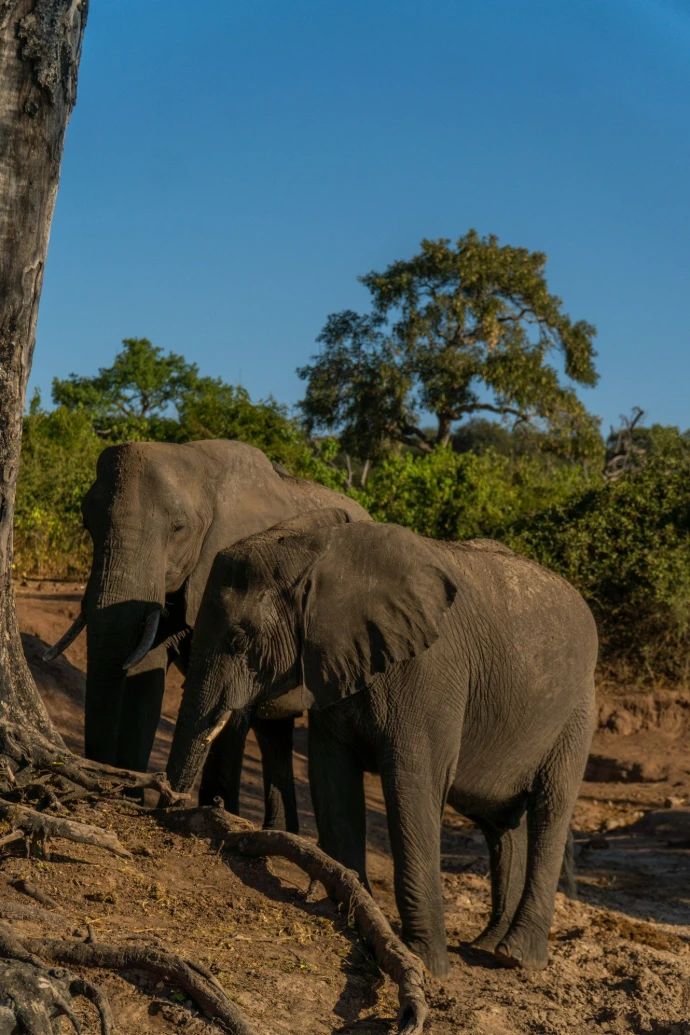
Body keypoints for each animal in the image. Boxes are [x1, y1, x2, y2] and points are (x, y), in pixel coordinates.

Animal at [43, 440, 369, 831]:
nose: (100, 787)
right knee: (274, 729)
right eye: (86, 522)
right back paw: (277, 829)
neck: (199, 464)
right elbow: (146, 674)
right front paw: (131, 798)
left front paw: (211, 811)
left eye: (178, 528)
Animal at [166, 511, 597, 978]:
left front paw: (425, 964)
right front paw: (352, 916)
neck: (323, 553)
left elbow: (413, 786)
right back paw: (487, 945)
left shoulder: (427, 674)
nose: (170, 802)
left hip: (577, 713)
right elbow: (332, 780)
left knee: (550, 809)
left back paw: (516, 958)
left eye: (239, 641)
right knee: (499, 822)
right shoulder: (334, 666)